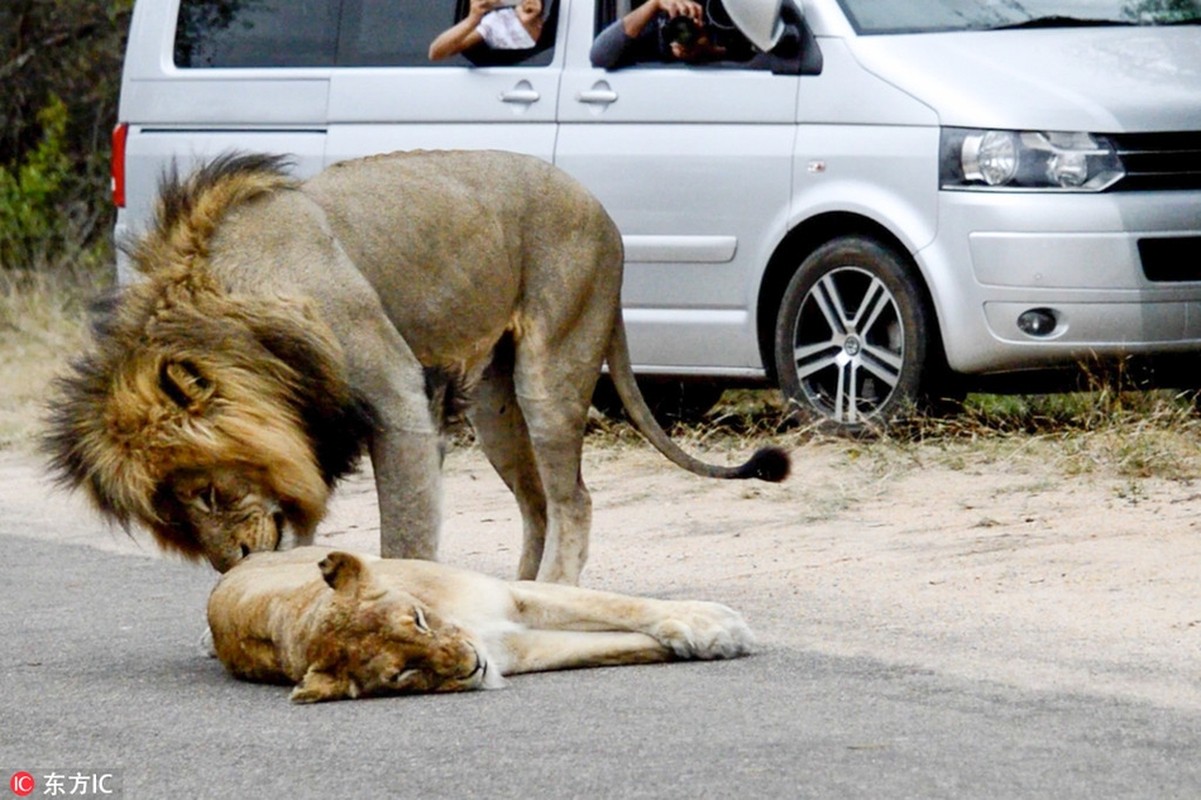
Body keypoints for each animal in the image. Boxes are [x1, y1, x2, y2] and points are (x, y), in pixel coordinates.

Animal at [44, 149, 787, 578]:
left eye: (206, 492)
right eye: (174, 518)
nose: (231, 568)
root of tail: (602, 211)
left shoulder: (395, 395)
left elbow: (402, 531)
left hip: (552, 367)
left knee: (573, 501)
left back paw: (554, 593)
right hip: (493, 405)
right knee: (537, 505)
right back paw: (520, 597)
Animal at [205, 545, 749, 701]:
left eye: (418, 620)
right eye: (404, 673)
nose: (471, 665)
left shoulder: (514, 594)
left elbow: (620, 606)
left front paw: (713, 626)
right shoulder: (518, 649)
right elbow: (624, 643)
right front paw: (698, 639)